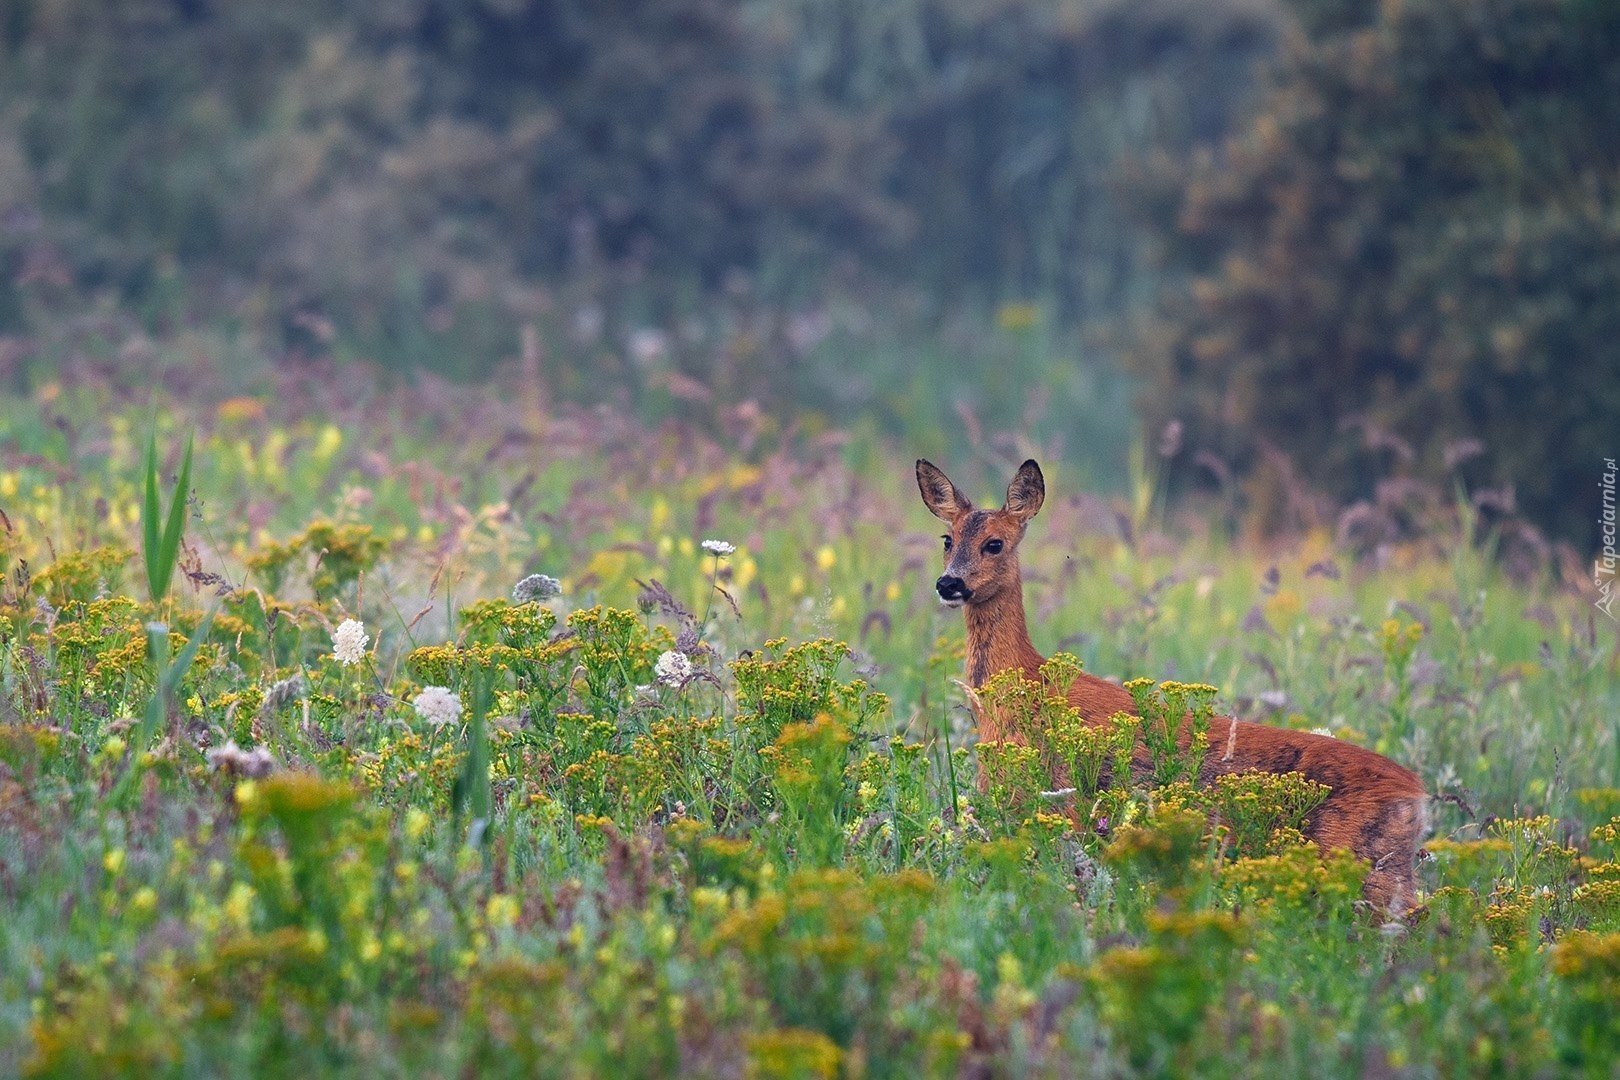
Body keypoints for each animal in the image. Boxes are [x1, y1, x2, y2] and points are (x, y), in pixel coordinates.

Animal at [920, 459, 1425, 919]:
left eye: (994, 543)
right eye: (947, 540)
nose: (948, 583)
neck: (1022, 685)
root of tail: (1417, 795)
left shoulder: (1062, 804)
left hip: (1362, 863)